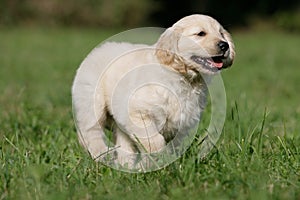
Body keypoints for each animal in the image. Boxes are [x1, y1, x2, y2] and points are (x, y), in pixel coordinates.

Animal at [72, 14, 234, 169]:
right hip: (93, 101)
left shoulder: (184, 122)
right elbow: (155, 141)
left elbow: (173, 145)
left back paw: (125, 165)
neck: (184, 77)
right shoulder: (138, 113)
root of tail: (96, 50)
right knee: (89, 131)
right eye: (201, 33)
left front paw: (149, 165)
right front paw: (152, 163)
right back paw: (102, 155)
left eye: (221, 33)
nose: (224, 45)